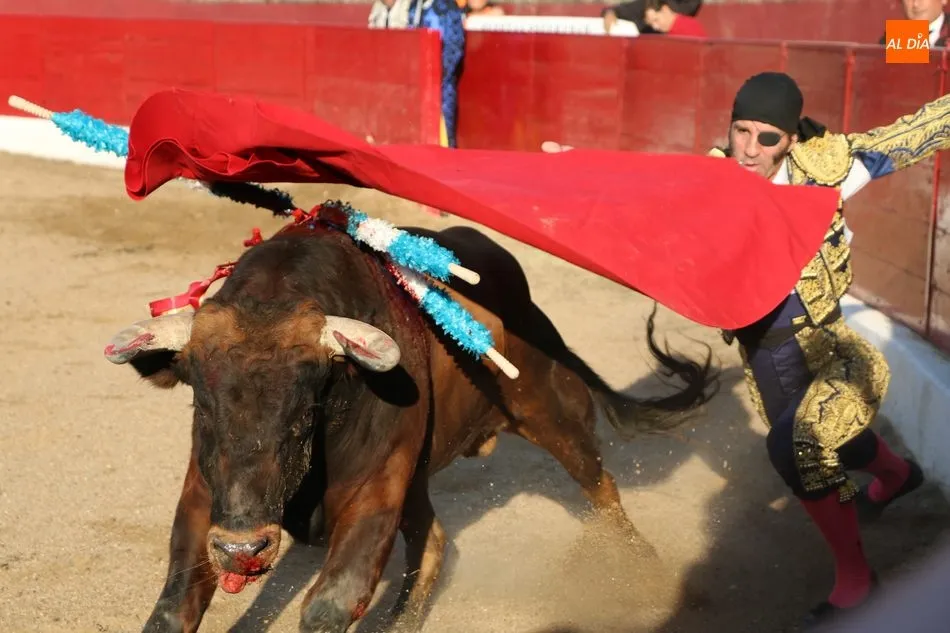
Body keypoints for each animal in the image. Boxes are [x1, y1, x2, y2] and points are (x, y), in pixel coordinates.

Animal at [103, 216, 718, 633]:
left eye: (305, 415)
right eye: (202, 406)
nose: (242, 550)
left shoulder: (375, 491)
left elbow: (333, 600)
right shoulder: (204, 496)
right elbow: (174, 607)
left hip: (551, 411)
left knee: (601, 485)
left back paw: (643, 570)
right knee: (435, 542)